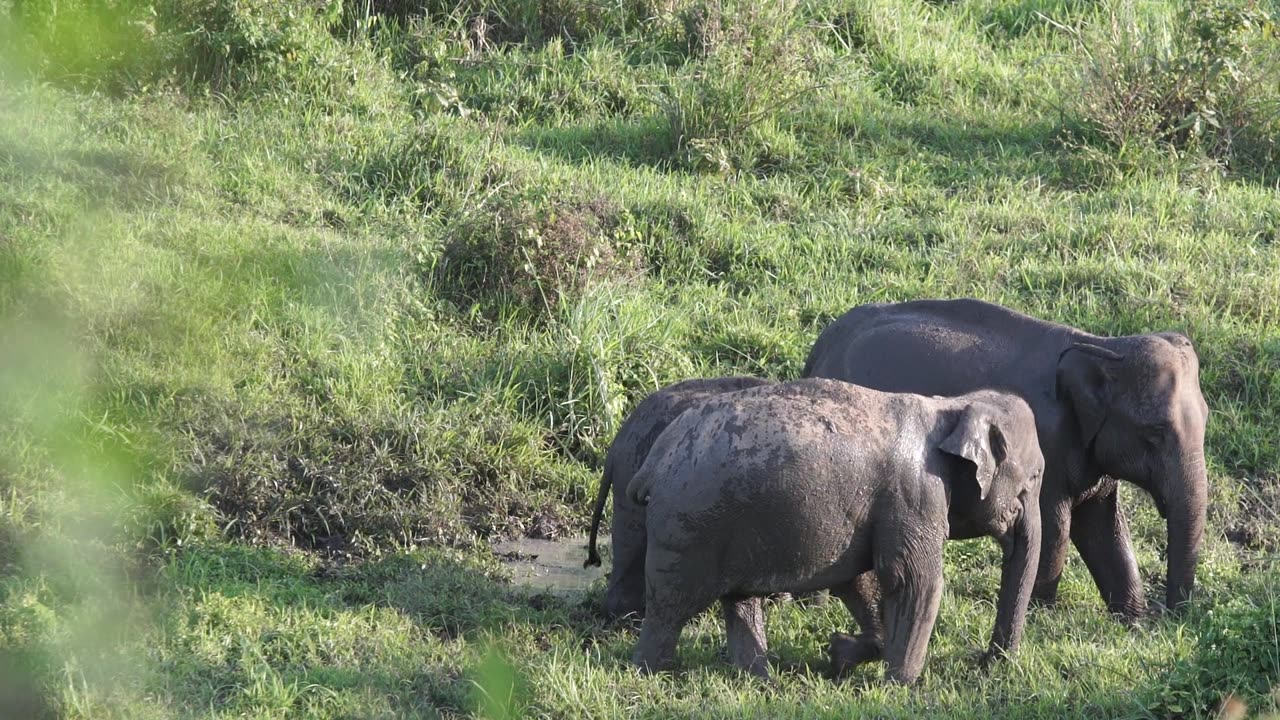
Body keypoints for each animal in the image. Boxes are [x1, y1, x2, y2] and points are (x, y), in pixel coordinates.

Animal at [627, 379, 1039, 681]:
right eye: (1035, 478)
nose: (986, 662)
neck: (951, 406)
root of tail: (654, 459)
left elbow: (858, 581)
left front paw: (840, 654)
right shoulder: (914, 495)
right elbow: (914, 581)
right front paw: (903, 686)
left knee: (740, 602)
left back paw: (758, 681)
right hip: (686, 529)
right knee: (671, 606)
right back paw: (650, 674)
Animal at [803, 297, 1203, 617]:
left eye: (1207, 418)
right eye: (1155, 432)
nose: (1171, 617)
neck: (1100, 345)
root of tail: (820, 347)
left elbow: (1103, 528)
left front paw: (1131, 620)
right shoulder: (1049, 444)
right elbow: (1056, 529)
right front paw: (1043, 615)